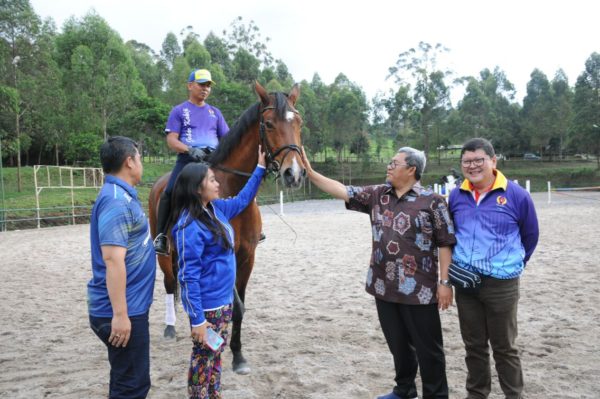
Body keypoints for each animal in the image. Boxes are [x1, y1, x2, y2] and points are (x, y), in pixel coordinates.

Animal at [150, 81, 304, 376]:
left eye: (299, 122)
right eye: (268, 124)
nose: (294, 173)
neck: (231, 189)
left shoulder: (247, 257)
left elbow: (238, 308)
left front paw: (238, 354)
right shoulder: (227, 254)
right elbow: (235, 307)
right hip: (164, 253)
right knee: (169, 284)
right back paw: (170, 328)